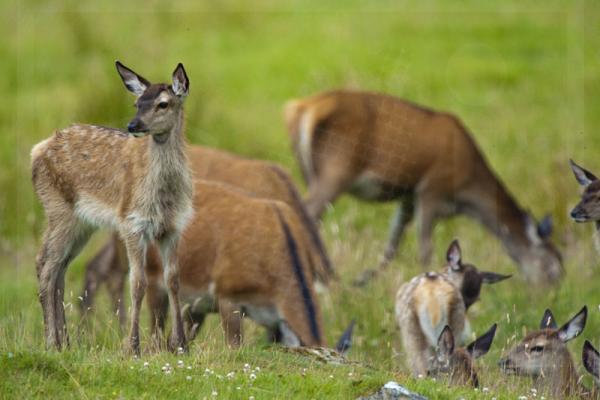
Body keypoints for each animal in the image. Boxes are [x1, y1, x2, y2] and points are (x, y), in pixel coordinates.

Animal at [30, 61, 192, 354]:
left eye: (163, 103)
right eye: (137, 103)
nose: (133, 125)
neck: (164, 198)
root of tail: (37, 151)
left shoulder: (174, 226)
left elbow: (173, 281)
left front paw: (180, 345)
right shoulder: (131, 222)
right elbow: (137, 283)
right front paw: (133, 347)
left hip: (82, 223)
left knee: (60, 267)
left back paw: (65, 342)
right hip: (58, 208)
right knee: (46, 263)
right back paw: (51, 342)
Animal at [145, 180, 326, 348]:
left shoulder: (275, 324)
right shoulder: (227, 295)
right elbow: (234, 345)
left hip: (194, 305)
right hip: (153, 278)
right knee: (155, 335)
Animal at [284, 90, 564, 288]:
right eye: (553, 270)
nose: (549, 296)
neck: (466, 193)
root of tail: (301, 108)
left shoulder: (408, 197)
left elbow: (392, 245)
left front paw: (363, 280)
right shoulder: (431, 189)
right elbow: (425, 248)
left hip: (311, 172)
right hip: (337, 167)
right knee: (305, 212)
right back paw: (323, 278)